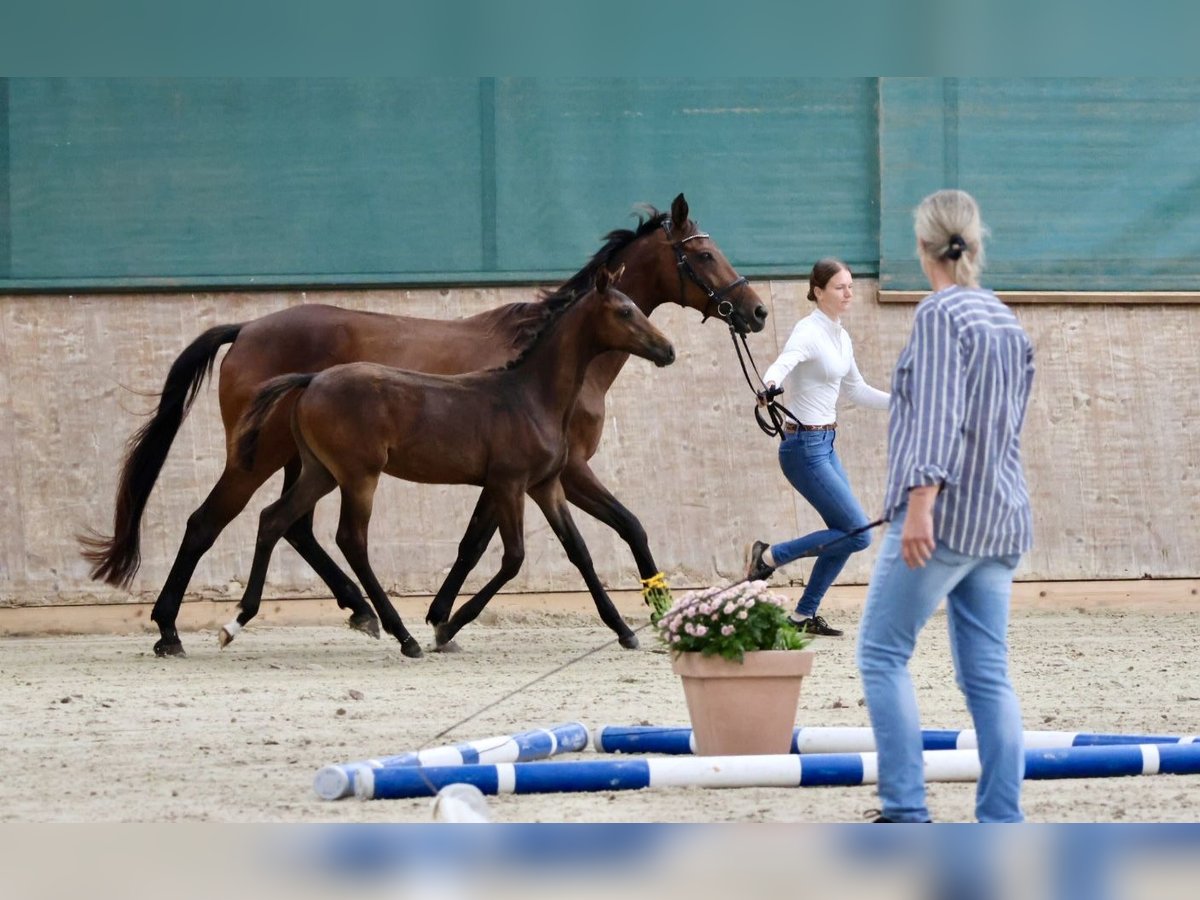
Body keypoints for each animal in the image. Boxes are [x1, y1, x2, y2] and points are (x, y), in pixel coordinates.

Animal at [225, 267, 676, 657]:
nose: (667, 349)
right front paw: (447, 627)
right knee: (351, 540)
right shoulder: (509, 483)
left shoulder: (545, 485)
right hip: (358, 476)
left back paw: (237, 621)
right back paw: (402, 636)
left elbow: (578, 549)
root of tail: (311, 380)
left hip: (321, 472)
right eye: (624, 311)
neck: (530, 396)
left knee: (274, 519)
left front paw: (623, 630)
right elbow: (513, 557)